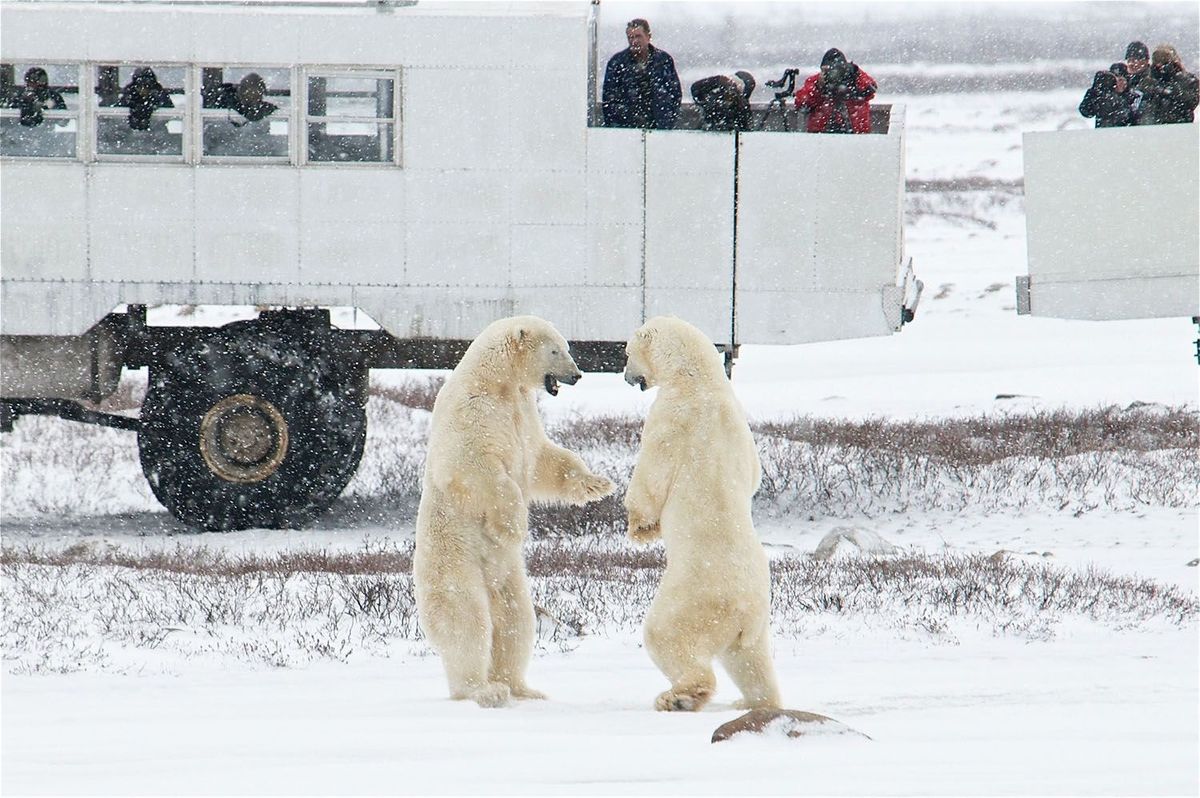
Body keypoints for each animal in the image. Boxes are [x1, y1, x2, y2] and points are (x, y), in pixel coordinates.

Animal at [415, 314, 619, 705]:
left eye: (567, 347)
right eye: (555, 350)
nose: (577, 375)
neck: (496, 382)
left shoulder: (523, 412)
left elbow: (543, 458)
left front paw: (597, 484)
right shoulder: (471, 411)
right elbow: (472, 465)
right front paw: (511, 525)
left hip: (510, 576)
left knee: (516, 622)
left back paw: (523, 688)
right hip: (456, 563)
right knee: (468, 620)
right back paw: (483, 690)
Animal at [624, 314, 782, 710]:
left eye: (627, 352)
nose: (627, 375)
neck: (699, 380)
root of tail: (743, 609)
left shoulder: (669, 419)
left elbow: (650, 478)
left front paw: (640, 528)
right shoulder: (742, 429)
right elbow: (754, 475)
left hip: (693, 599)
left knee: (666, 635)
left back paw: (679, 696)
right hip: (757, 621)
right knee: (751, 661)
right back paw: (754, 702)